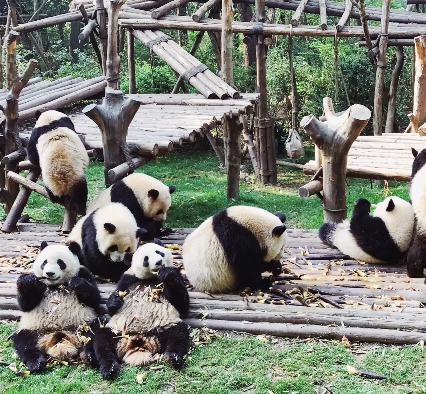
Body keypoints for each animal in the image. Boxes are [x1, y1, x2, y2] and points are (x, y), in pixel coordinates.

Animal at [11, 240, 100, 372]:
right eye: (44, 262)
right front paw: (27, 281)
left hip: (84, 325)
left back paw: (90, 356)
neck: (56, 286)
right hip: (34, 329)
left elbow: (94, 299)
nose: (49, 273)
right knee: (24, 342)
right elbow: (26, 305)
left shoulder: (83, 273)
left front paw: (77, 283)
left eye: (60, 262)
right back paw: (36, 362)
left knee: (93, 335)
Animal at [86, 242, 190, 380]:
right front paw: (114, 301)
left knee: (178, 335)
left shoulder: (178, 278)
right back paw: (109, 368)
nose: (159, 262)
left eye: (159, 252)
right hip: (118, 331)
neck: (151, 278)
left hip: (165, 325)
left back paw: (173, 357)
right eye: (146, 259)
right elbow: (115, 305)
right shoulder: (128, 279)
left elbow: (182, 305)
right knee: (102, 341)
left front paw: (168, 275)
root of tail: (140, 340)